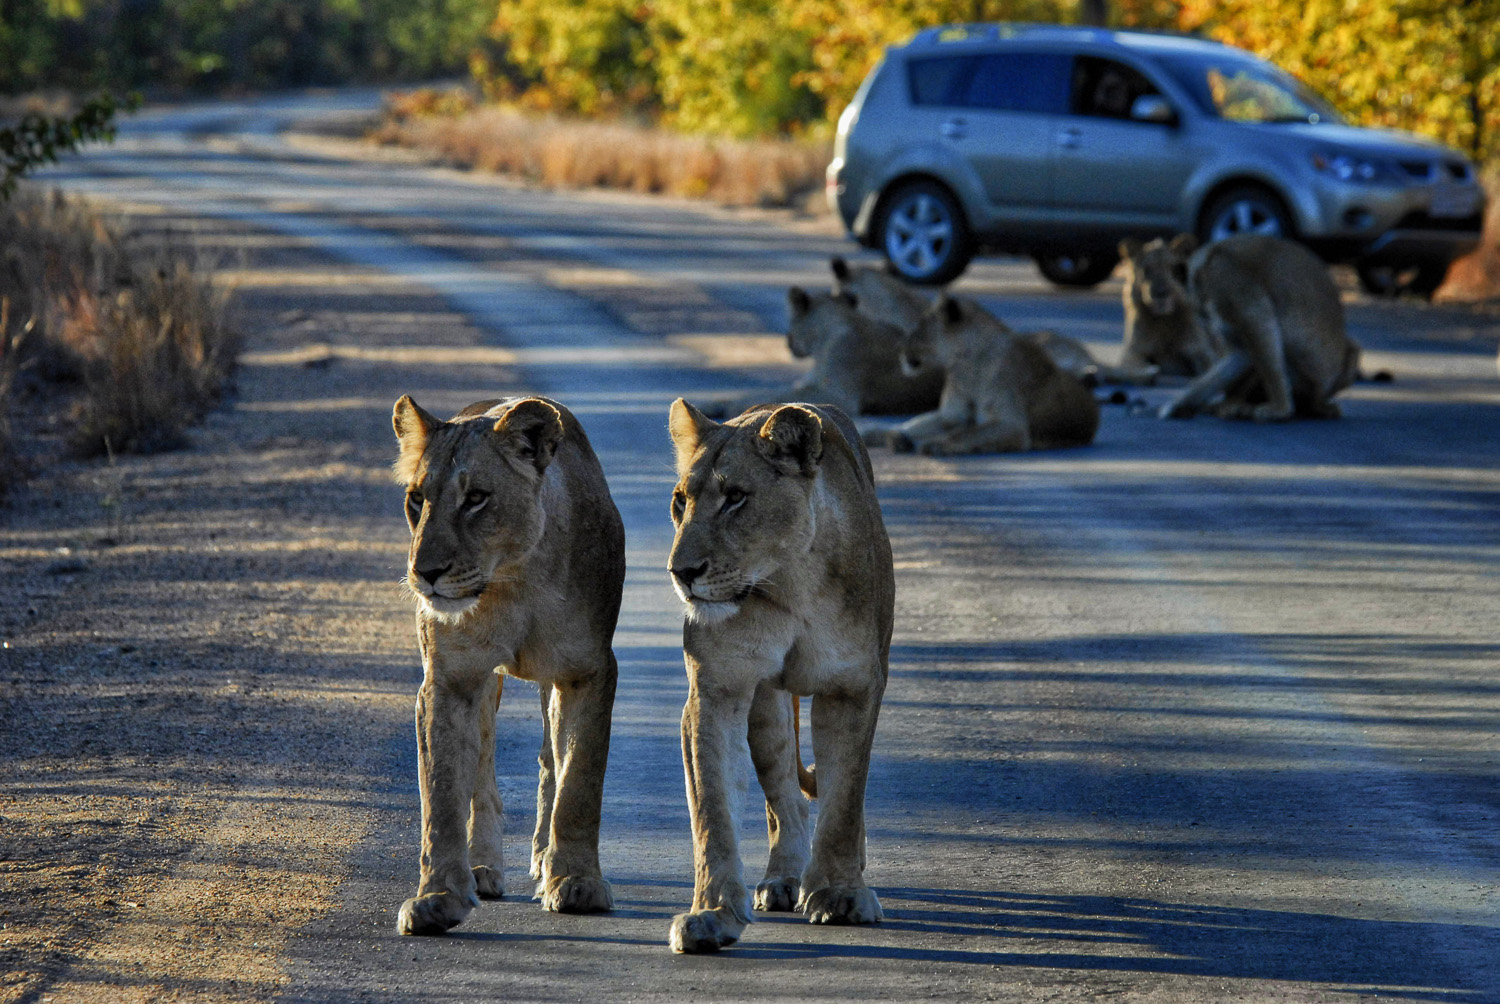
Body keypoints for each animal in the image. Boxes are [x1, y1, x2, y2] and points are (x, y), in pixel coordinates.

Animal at [390, 394, 625, 936]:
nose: (425, 573)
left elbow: (579, 780)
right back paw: (482, 867)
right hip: (485, 686)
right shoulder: (449, 679)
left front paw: (576, 883)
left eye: (476, 498)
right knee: (481, 775)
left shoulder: (588, 670)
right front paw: (437, 898)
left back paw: (543, 859)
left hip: (549, 682)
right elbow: (443, 793)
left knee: (550, 762)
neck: (514, 579)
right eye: (417, 498)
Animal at [664, 398, 894, 953]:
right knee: (785, 798)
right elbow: (714, 811)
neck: (790, 585)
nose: (682, 572)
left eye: (736, 498)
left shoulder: (854, 688)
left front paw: (840, 894)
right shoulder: (717, 690)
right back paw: (785, 878)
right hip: (766, 710)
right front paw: (712, 914)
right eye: (680, 502)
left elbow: (844, 797)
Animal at [704, 286, 942, 418]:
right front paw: (714, 405)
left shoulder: (839, 396)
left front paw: (737, 406)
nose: (788, 342)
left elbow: (775, 396)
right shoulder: (808, 384)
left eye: (792, 320)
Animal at [875, 293, 1100, 455]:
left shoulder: (1012, 425)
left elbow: (967, 434)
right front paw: (899, 437)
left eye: (921, 326)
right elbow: (932, 425)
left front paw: (936, 445)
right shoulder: (951, 415)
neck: (964, 367)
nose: (898, 347)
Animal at [1156, 235, 1362, 420]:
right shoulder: (1239, 344)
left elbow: (1271, 368)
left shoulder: (1251, 310)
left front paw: (1280, 410)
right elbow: (1214, 377)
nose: (1206, 318)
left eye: (1200, 310)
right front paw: (1179, 404)